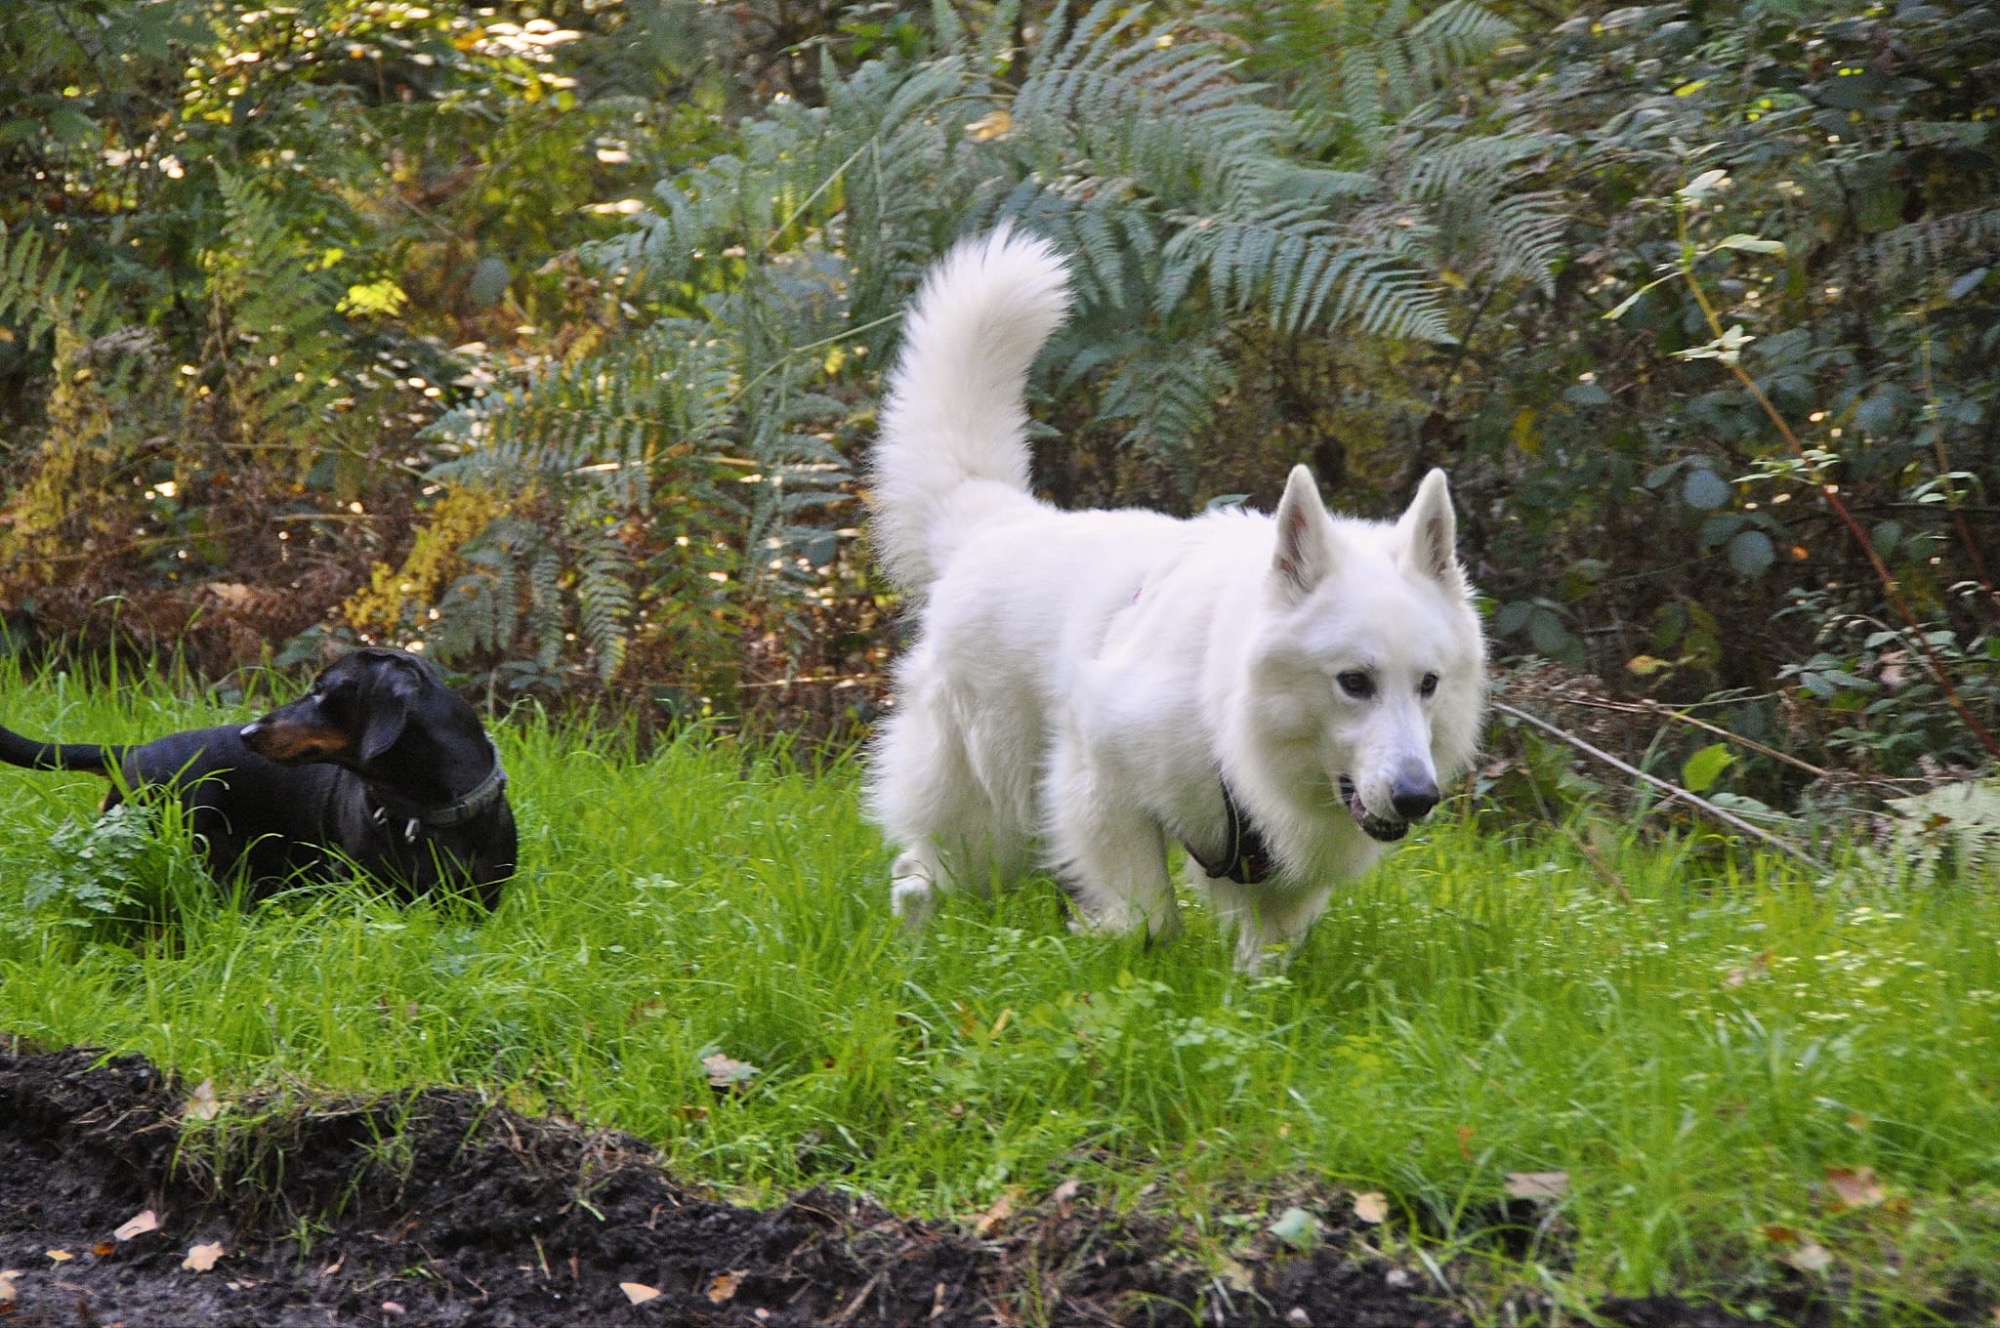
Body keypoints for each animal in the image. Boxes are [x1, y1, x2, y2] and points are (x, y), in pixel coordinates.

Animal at [865, 227, 1486, 969]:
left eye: (1429, 684)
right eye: (1354, 682)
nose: (1418, 796)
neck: (1225, 710)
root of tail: (995, 520)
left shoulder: (1283, 883)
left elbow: (1266, 962)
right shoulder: (1101, 779)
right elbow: (1150, 919)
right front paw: (1100, 938)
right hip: (993, 819)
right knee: (916, 876)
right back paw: (912, 949)